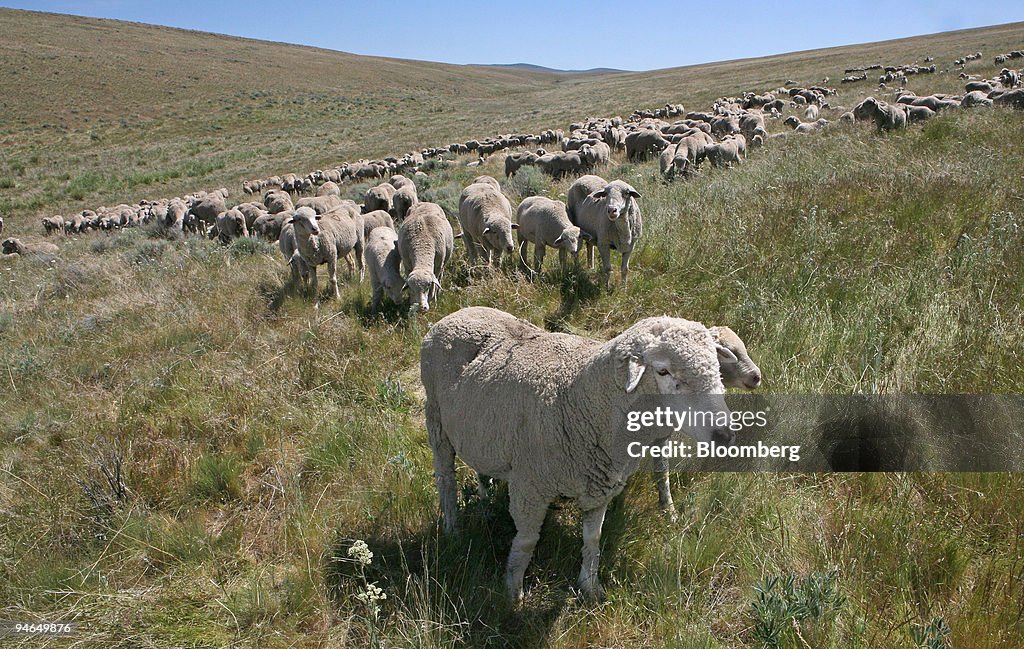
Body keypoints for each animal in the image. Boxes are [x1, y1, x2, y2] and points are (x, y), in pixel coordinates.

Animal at [422, 306, 736, 601]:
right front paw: (512, 593)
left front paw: (590, 587)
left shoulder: (599, 486)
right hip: (436, 420)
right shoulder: (530, 486)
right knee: (446, 480)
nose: (725, 434)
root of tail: (459, 312)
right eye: (663, 371)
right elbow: (526, 541)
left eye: (715, 366)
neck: (581, 397)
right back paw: (452, 529)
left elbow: (593, 539)